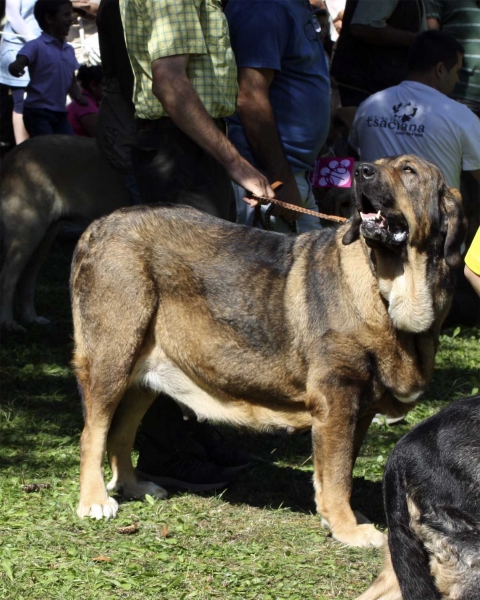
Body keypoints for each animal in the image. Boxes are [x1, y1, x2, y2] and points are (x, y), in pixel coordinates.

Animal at [70, 155, 464, 548]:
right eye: (380, 165)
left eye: (408, 171)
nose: (361, 171)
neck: (389, 286)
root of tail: (99, 225)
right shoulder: (337, 401)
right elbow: (337, 474)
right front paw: (349, 528)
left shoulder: (360, 410)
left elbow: (342, 469)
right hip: (112, 360)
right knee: (93, 433)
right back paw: (94, 501)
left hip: (144, 374)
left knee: (121, 433)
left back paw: (135, 486)